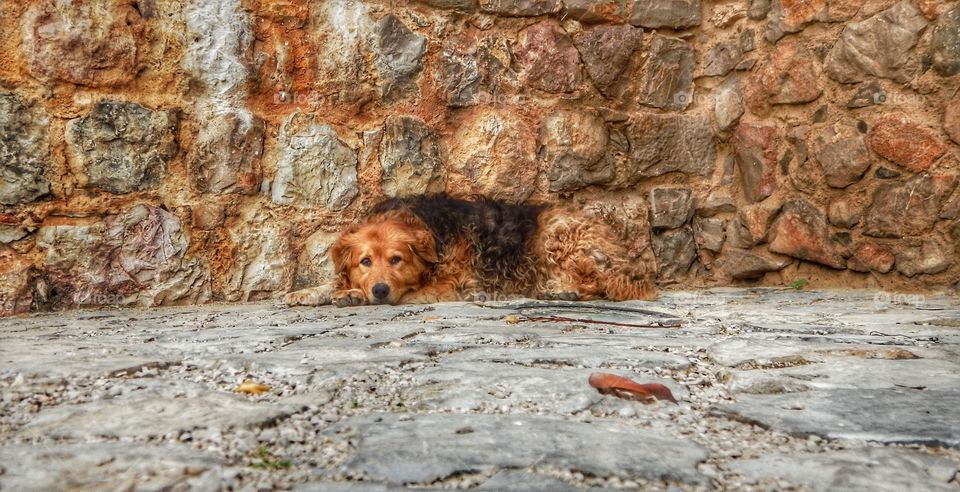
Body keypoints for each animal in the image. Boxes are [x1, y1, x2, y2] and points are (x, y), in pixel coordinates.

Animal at [282, 194, 656, 306]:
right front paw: (310, 292)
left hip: (557, 231)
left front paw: (353, 295)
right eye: (364, 261)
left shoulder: (446, 286)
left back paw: (561, 290)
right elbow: (332, 282)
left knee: (600, 285)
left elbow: (403, 294)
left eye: (396, 260)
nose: (380, 289)